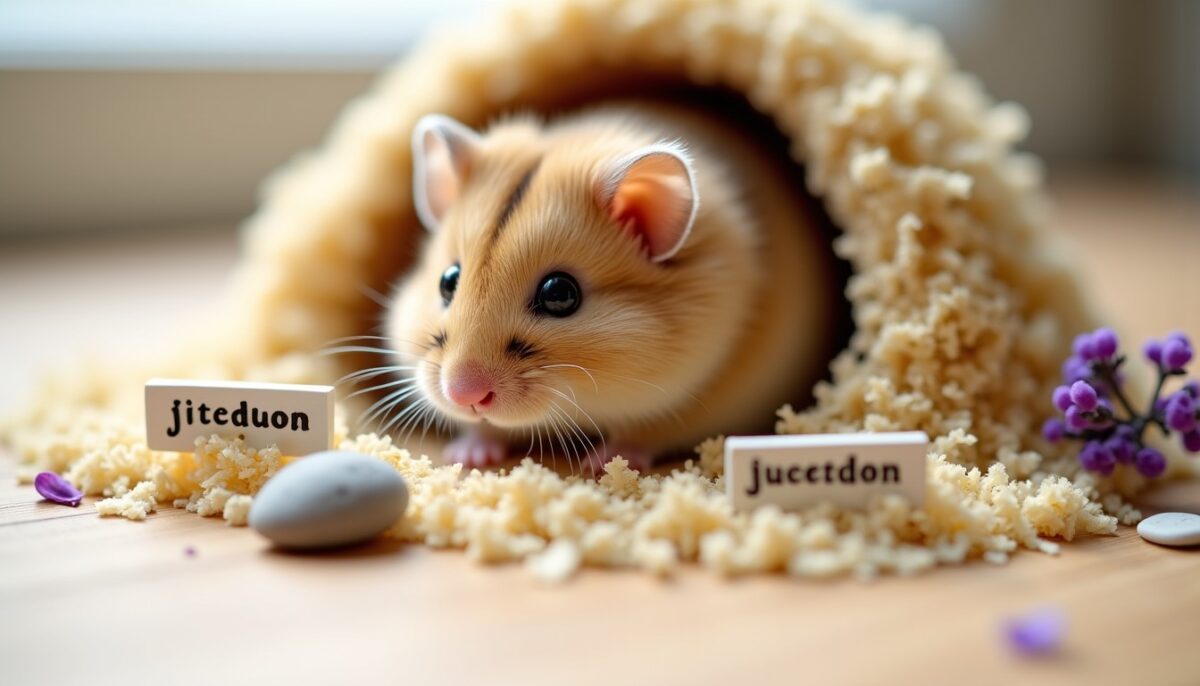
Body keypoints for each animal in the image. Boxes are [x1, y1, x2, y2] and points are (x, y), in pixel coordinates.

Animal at [381, 101, 837, 472]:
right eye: (447, 281)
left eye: (559, 294)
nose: (464, 396)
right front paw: (469, 454)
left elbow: (642, 433)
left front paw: (601, 465)